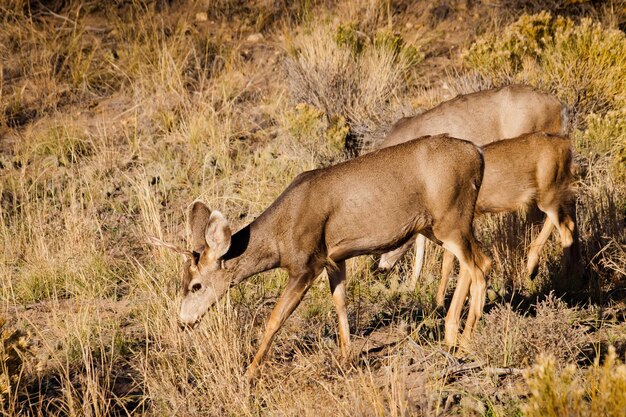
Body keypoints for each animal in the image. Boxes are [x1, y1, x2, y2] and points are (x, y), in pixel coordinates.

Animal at [150, 135, 488, 378]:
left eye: (195, 285)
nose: (184, 321)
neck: (280, 236)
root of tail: (477, 154)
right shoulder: (334, 258)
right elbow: (340, 302)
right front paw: (345, 357)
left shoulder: (306, 263)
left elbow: (275, 318)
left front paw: (249, 372)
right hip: (438, 225)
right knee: (471, 264)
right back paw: (450, 335)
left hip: (451, 217)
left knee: (481, 266)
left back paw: (465, 342)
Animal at [380, 132, 580, 308]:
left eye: (396, 241)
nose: (382, 267)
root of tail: (565, 144)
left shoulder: (458, 219)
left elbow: (447, 262)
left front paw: (440, 303)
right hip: (553, 190)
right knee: (568, 212)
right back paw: (541, 270)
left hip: (548, 191)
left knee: (565, 226)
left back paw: (562, 281)